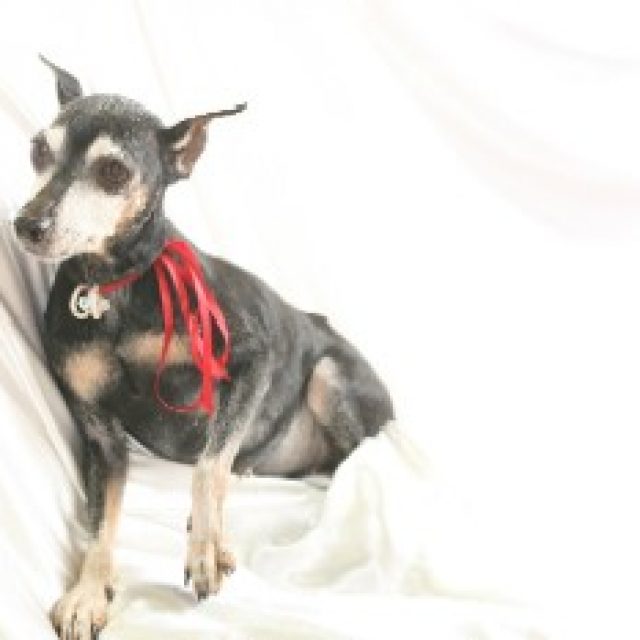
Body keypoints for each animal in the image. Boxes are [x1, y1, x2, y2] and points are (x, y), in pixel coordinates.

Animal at [13, 57, 394, 640]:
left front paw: (205, 550)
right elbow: (101, 526)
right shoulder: (101, 435)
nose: (28, 224)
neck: (115, 289)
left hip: (331, 379)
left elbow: (208, 466)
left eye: (113, 173)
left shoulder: (252, 360)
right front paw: (87, 592)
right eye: (39, 149)